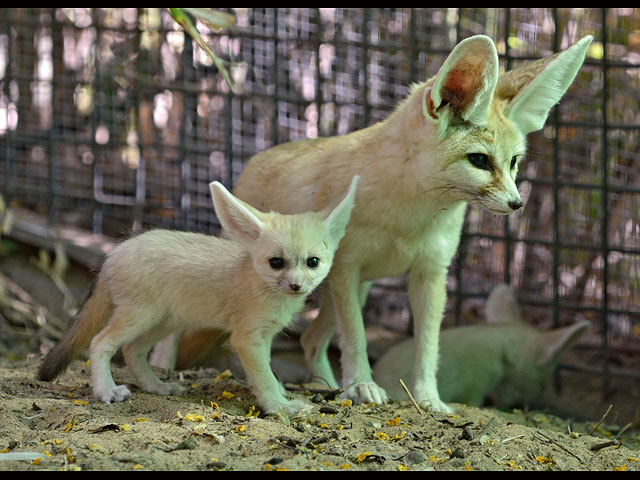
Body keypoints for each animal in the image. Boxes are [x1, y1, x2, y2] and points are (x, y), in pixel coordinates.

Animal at [38, 174, 360, 414]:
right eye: (276, 263)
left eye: (312, 262)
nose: (296, 286)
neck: (258, 282)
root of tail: (116, 252)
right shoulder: (247, 340)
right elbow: (265, 378)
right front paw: (280, 406)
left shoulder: (265, 337)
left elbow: (269, 373)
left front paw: (281, 396)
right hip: (140, 317)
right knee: (99, 343)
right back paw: (106, 390)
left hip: (164, 322)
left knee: (133, 351)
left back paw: (158, 387)